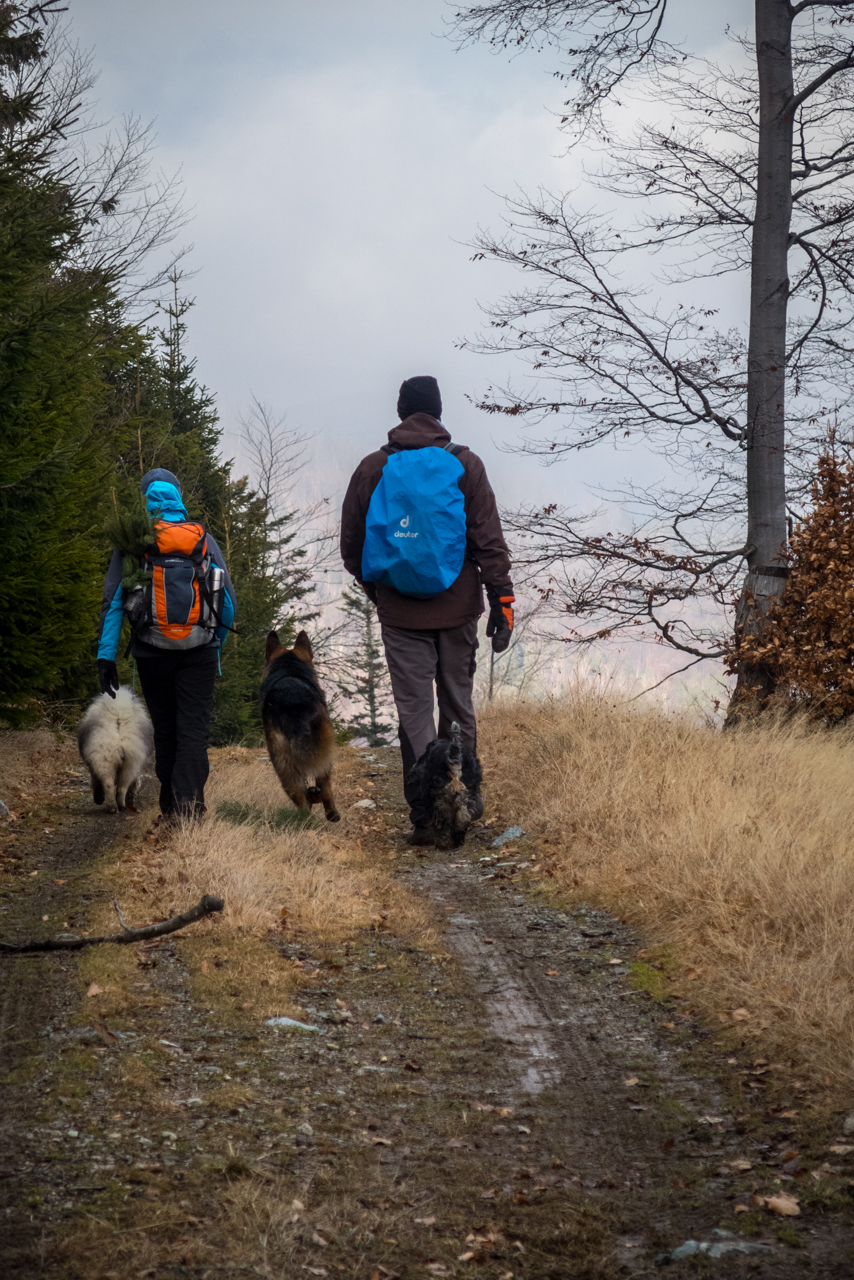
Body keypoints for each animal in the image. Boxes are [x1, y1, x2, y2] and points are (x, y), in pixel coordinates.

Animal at [261, 627, 340, 819]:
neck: (289, 669)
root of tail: (292, 703)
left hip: (280, 758)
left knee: (296, 793)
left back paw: (306, 812)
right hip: (322, 747)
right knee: (324, 784)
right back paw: (331, 813)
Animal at [407, 721, 483, 849]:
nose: (411, 774)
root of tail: (455, 764)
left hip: (442, 799)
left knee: (447, 820)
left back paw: (443, 842)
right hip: (465, 796)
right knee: (462, 818)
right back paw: (458, 841)